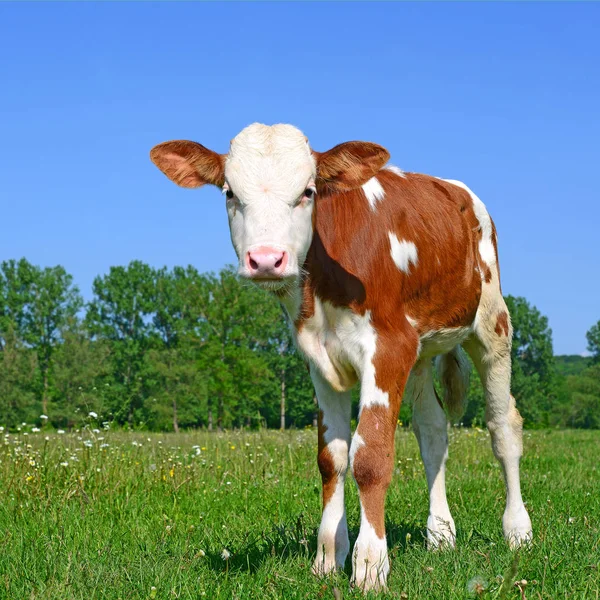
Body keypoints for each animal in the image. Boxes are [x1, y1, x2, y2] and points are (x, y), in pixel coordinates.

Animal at [151, 123, 536, 592]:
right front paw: (328, 556)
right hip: (422, 351)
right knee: (432, 431)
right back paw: (441, 534)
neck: (323, 290)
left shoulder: (388, 348)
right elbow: (331, 459)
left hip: (492, 323)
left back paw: (518, 530)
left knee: (503, 428)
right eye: (229, 193)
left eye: (308, 191)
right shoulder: (319, 359)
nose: (266, 259)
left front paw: (370, 566)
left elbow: (369, 457)